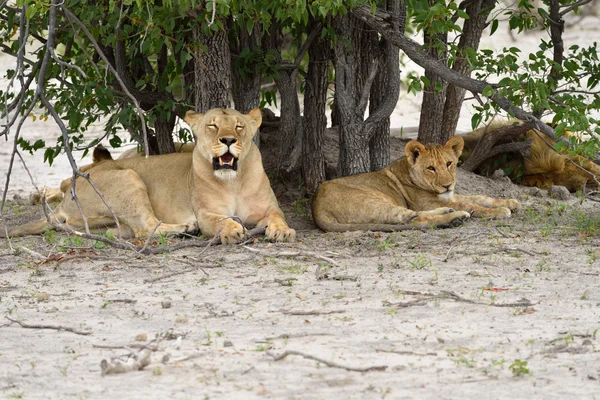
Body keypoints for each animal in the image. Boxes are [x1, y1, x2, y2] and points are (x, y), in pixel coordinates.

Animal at [4, 107, 296, 244]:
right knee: (146, 227)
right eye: (212, 126)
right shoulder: (205, 213)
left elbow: (278, 216)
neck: (233, 181)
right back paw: (186, 229)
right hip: (129, 177)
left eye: (239, 126)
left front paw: (283, 231)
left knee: (130, 231)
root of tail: (64, 200)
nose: (227, 140)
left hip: (111, 221)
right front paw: (232, 230)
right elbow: (219, 220)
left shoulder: (269, 207)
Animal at [312, 137, 516, 233]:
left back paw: (448, 212)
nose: (447, 185)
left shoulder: (447, 196)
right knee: (415, 219)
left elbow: (478, 197)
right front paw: (499, 211)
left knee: (416, 215)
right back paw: (455, 217)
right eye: (431, 168)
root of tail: (317, 209)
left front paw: (510, 202)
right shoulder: (428, 201)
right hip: (376, 202)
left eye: (449, 163)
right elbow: (470, 204)